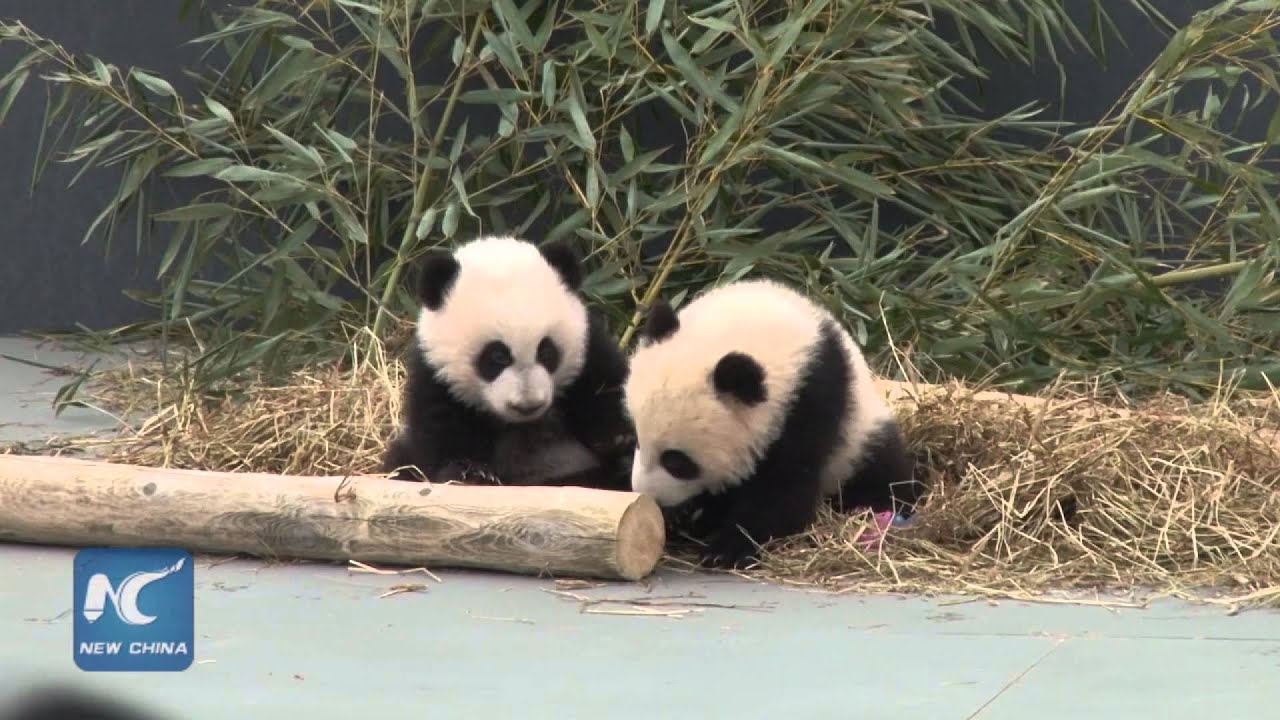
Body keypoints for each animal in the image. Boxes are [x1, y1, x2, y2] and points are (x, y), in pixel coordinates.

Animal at [381, 234, 634, 491]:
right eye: (497, 356)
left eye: (546, 351)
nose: (528, 405)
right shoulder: (436, 377)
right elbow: (438, 433)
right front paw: (471, 472)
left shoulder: (589, 349)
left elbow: (609, 383)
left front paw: (617, 437)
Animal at [623, 278, 921, 569]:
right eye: (636, 439)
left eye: (677, 461)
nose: (650, 496)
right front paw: (684, 518)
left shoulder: (810, 403)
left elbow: (783, 487)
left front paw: (727, 549)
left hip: (858, 440)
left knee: (880, 472)